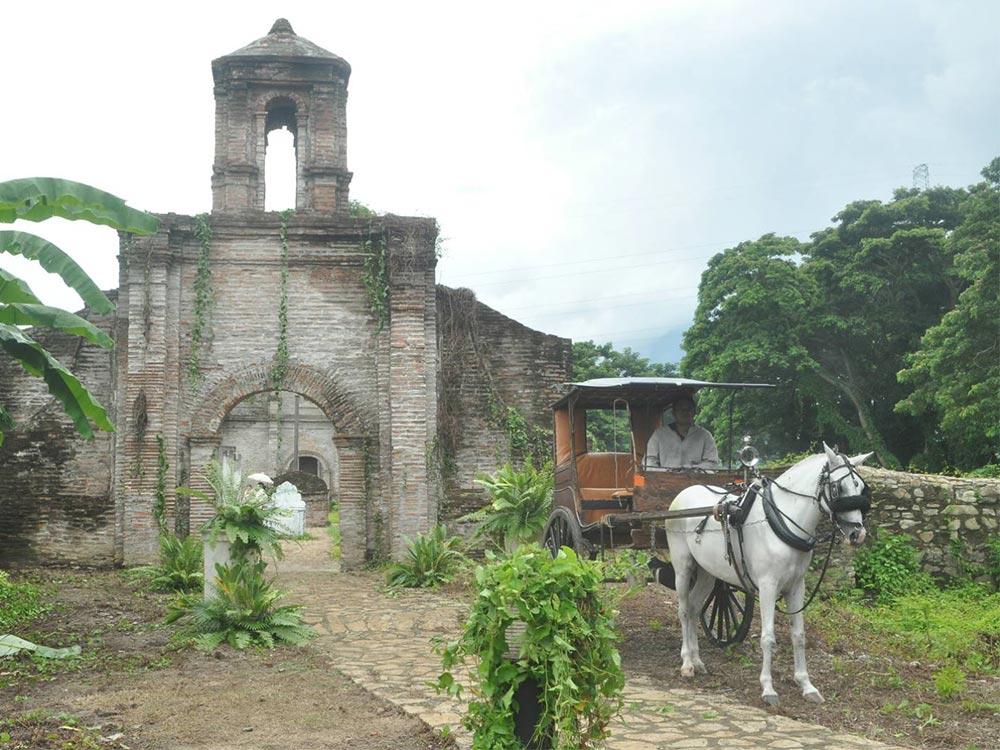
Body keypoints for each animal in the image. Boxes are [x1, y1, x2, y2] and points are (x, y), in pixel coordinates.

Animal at [668, 444, 872, 708]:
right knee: (683, 611)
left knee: (693, 608)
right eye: (839, 488)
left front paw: (806, 685)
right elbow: (767, 637)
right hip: (683, 566)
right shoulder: (767, 586)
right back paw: (687, 663)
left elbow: (799, 635)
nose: (858, 534)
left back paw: (697, 660)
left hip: (707, 572)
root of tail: (684, 492)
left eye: (861, 487)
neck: (782, 520)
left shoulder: (797, 587)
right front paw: (768, 688)